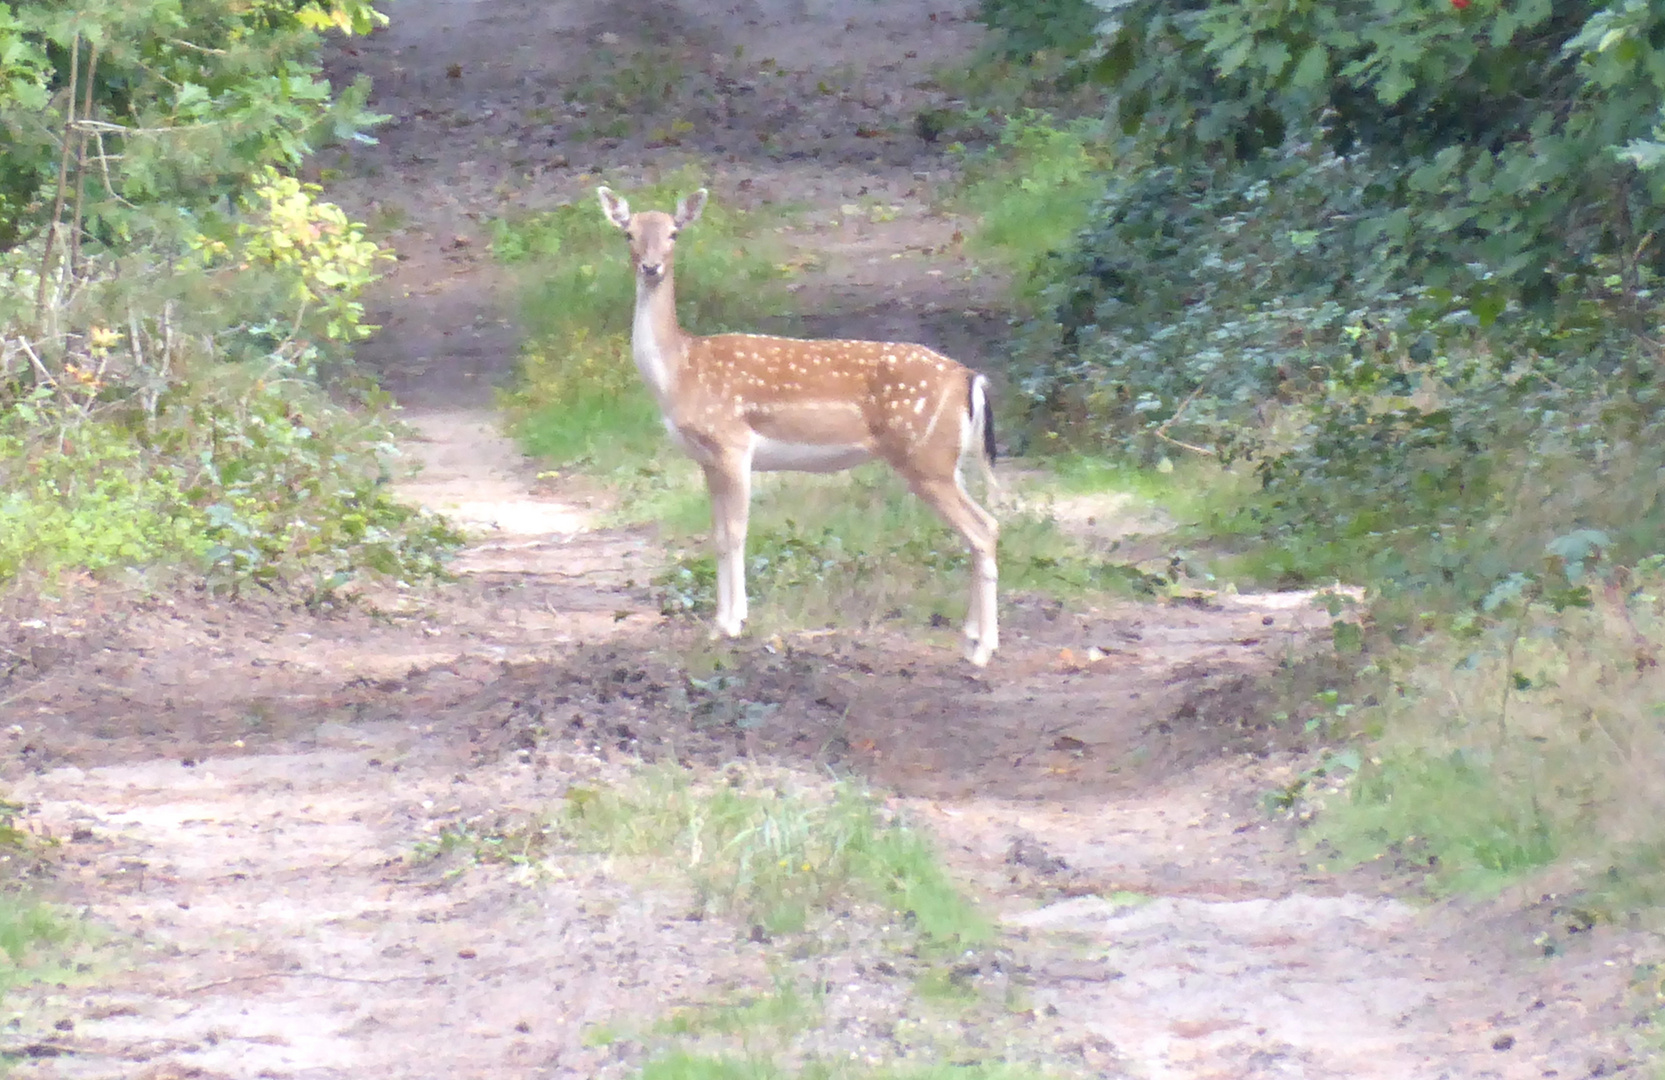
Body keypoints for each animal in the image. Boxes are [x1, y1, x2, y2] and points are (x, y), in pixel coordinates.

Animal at [599, 187, 999, 665]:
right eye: (628, 233)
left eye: (675, 233)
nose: (651, 267)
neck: (680, 372)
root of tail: (969, 377)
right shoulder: (706, 460)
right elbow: (716, 536)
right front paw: (721, 624)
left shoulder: (733, 443)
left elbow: (736, 533)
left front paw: (732, 625)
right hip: (946, 459)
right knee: (986, 525)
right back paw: (970, 639)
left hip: (925, 456)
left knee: (982, 529)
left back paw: (983, 650)